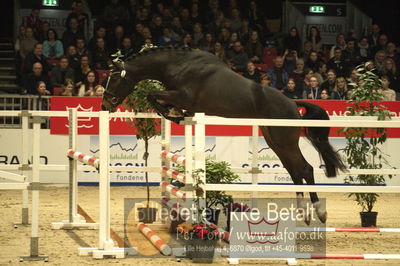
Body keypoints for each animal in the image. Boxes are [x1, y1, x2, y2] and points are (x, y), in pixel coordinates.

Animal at [102, 46, 346, 223]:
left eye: (114, 78)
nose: (105, 105)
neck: (180, 65)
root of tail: (293, 104)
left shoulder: (182, 96)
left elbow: (153, 95)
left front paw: (174, 115)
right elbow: (156, 97)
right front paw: (176, 114)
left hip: (284, 141)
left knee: (305, 169)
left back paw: (318, 212)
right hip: (275, 141)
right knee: (295, 171)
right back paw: (303, 214)